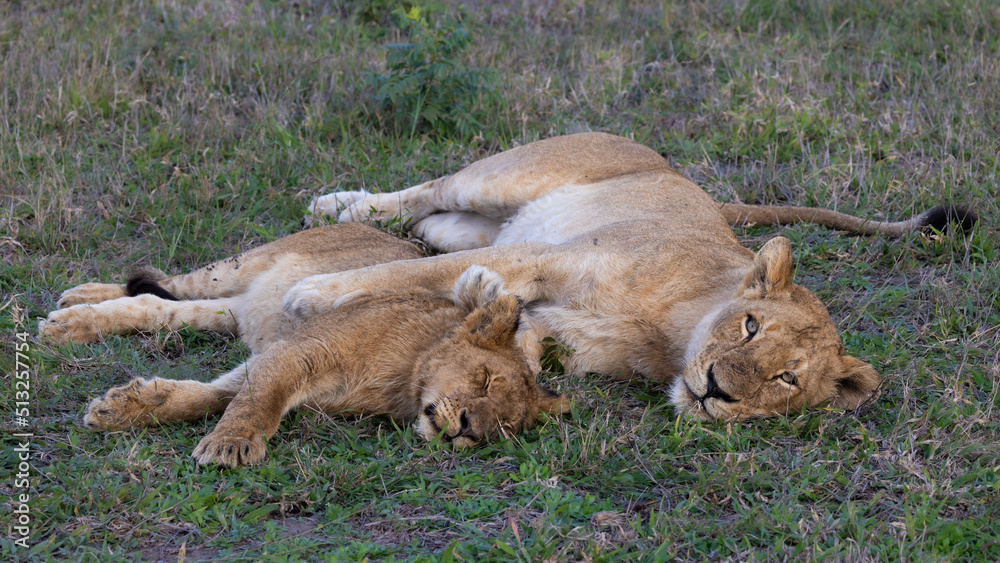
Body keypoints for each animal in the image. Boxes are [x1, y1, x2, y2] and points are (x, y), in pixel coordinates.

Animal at [40, 224, 567, 467]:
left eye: (505, 427)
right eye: (484, 379)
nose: (468, 431)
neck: (406, 381)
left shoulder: (271, 358)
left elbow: (210, 396)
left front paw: (122, 407)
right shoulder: (301, 351)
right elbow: (258, 402)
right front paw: (231, 445)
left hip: (231, 310)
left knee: (155, 305)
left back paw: (73, 322)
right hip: (237, 266)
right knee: (165, 282)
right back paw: (71, 307)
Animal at [299, 132, 975, 422]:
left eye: (787, 379)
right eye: (750, 326)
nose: (716, 390)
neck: (671, 336)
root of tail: (675, 171)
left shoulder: (563, 336)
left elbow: (517, 341)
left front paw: (484, 304)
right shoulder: (550, 257)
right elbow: (402, 271)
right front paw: (308, 295)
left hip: (475, 224)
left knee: (435, 225)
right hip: (500, 178)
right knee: (426, 194)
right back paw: (339, 206)